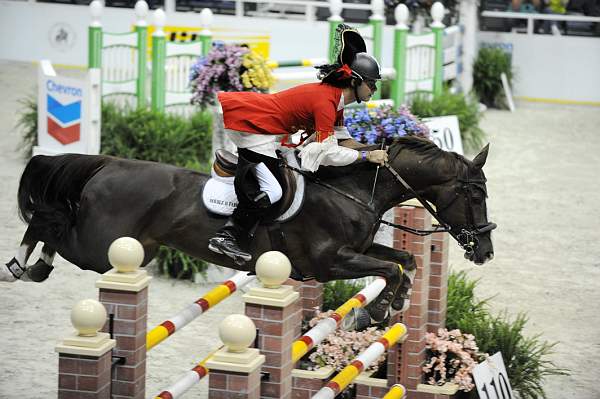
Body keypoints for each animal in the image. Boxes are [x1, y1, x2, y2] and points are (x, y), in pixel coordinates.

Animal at [2, 138, 494, 322]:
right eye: (474, 194)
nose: (485, 251)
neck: (353, 191)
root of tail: (107, 164)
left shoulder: (358, 249)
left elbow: (404, 260)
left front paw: (392, 306)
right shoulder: (327, 263)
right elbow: (391, 269)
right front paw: (378, 310)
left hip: (121, 246)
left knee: (54, 225)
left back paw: (34, 266)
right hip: (100, 246)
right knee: (49, 222)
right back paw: (20, 266)